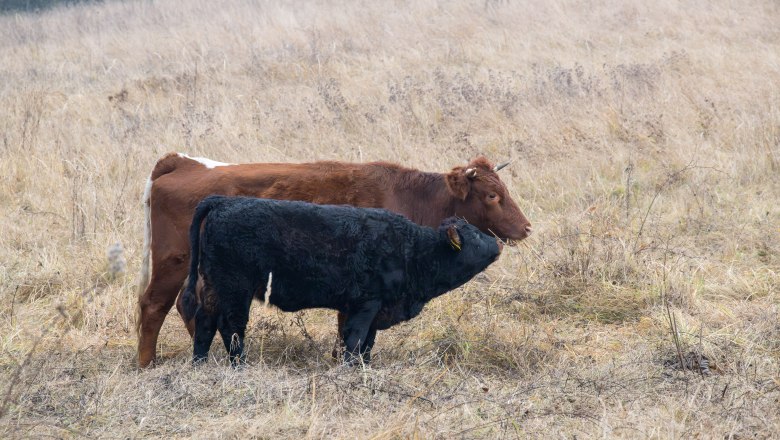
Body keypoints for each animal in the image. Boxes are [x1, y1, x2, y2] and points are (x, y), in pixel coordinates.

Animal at [137, 153, 532, 366]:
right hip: (175, 265)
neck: (410, 194)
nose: (526, 228)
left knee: (193, 310)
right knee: (155, 306)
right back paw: (147, 364)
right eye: (492, 195)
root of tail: (182, 164)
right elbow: (350, 337)